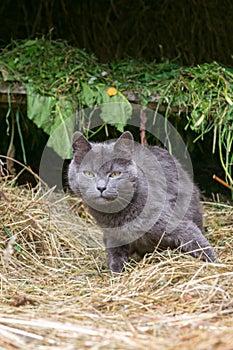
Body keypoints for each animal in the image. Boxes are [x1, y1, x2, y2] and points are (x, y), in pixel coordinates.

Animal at [68, 131, 216, 274]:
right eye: (88, 173)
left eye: (115, 174)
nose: (101, 187)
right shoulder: (113, 238)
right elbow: (115, 259)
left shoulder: (176, 223)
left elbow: (197, 241)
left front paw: (213, 263)